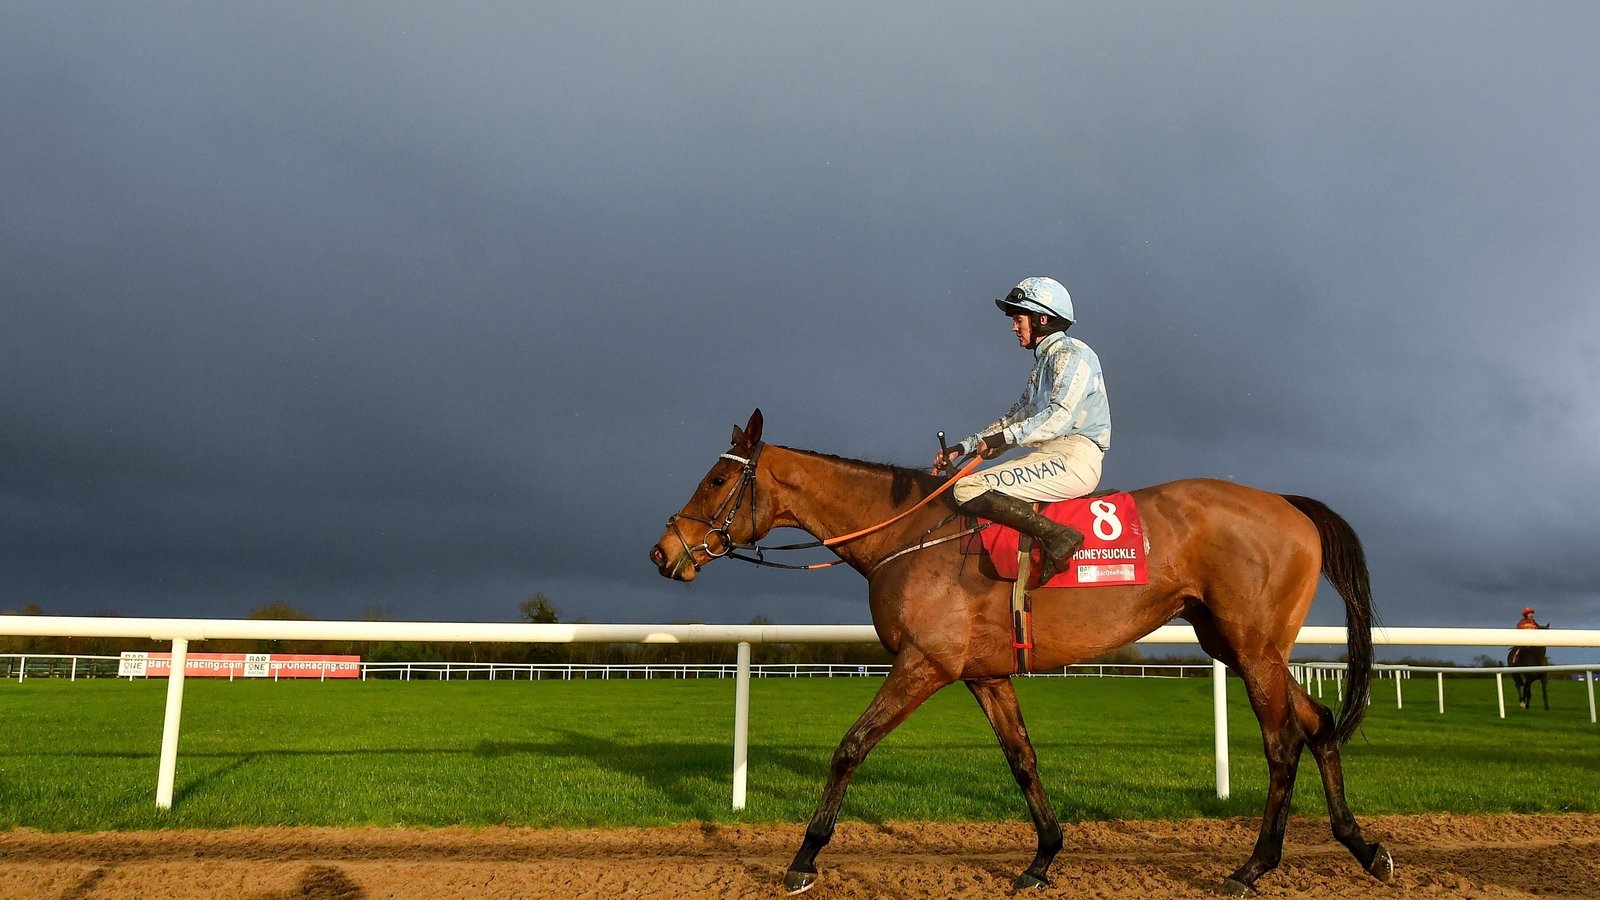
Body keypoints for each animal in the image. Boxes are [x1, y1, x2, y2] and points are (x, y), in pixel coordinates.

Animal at [649, 413, 1388, 890]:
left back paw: (1255, 866)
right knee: (1320, 723)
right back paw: (1363, 847)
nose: (662, 553)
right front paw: (1043, 857)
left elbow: (850, 747)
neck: (910, 535)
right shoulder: (984, 675)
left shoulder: (924, 664)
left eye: (716, 481)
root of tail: (1288, 504)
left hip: (1254, 647)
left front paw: (805, 857)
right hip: (1235, 644)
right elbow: (1023, 760)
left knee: (1283, 742)